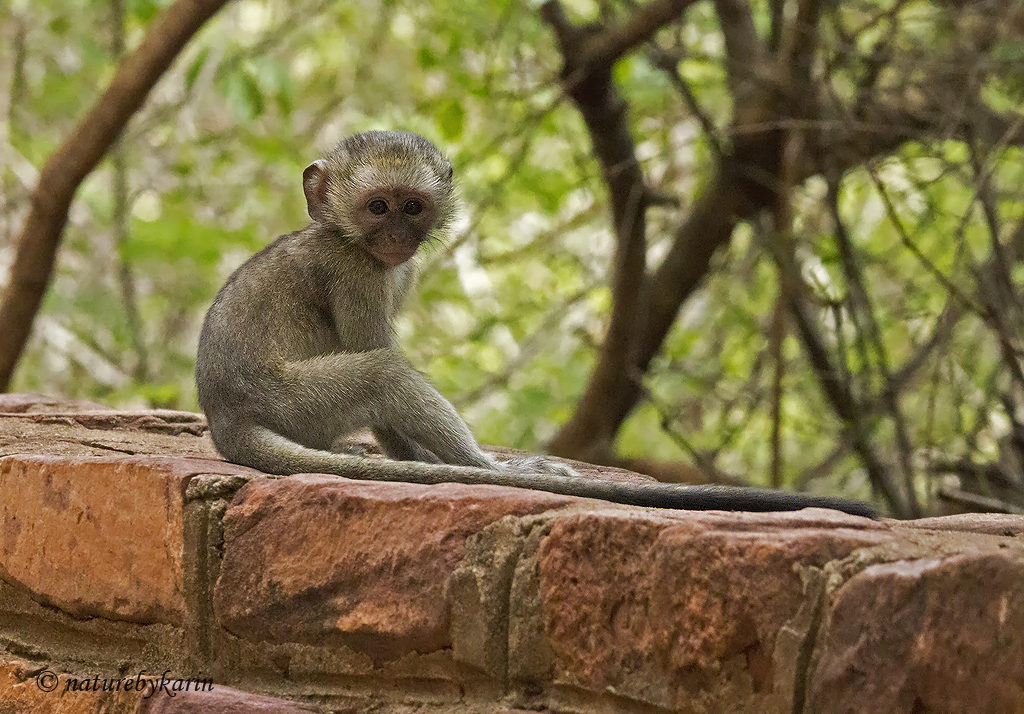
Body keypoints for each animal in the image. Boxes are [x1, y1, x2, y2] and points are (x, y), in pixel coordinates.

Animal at [195, 131, 876, 514]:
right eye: (377, 208)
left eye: (411, 209)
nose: (395, 238)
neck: (348, 238)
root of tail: (226, 420)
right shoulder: (358, 273)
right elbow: (377, 362)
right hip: (291, 402)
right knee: (384, 372)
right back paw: (491, 472)